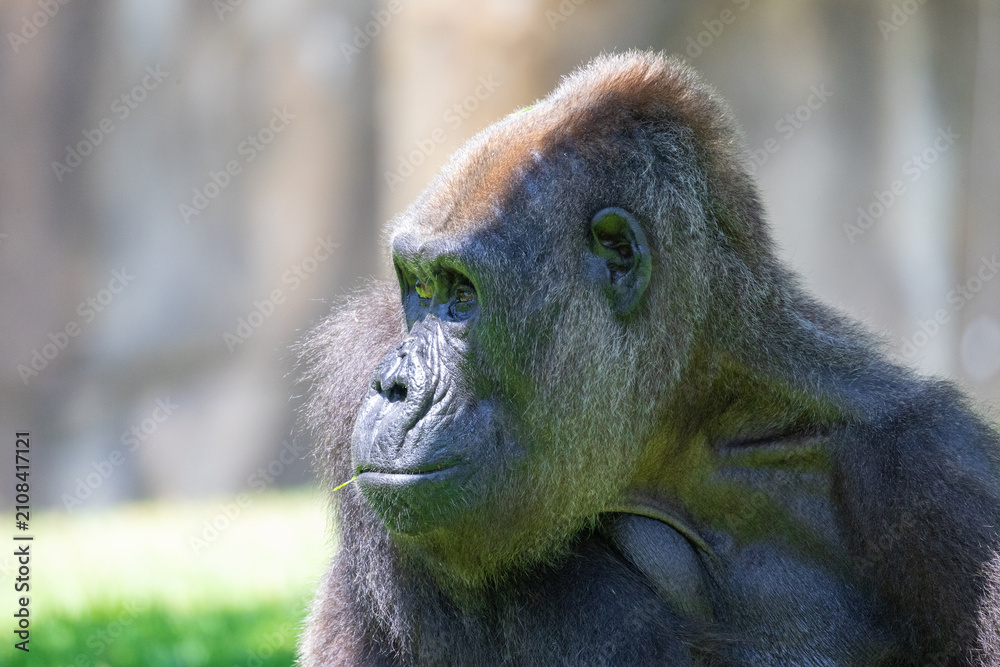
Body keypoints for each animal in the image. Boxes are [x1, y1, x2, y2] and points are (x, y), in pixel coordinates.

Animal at [296, 51, 1000, 665]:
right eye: (419, 290)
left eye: (461, 297)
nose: (390, 384)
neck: (691, 423)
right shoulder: (360, 355)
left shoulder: (937, 474)